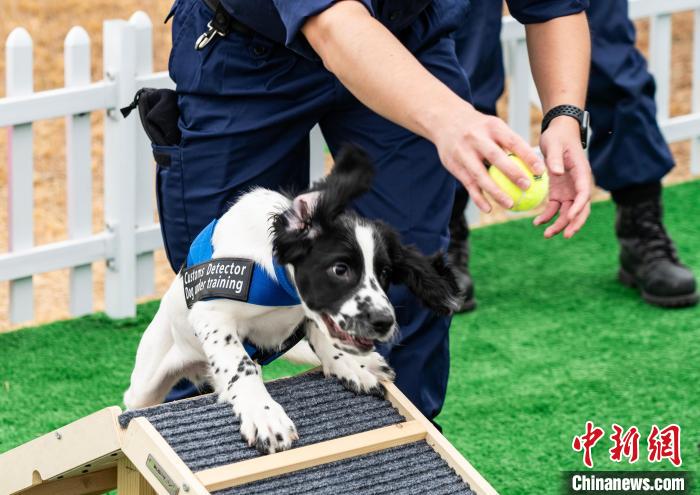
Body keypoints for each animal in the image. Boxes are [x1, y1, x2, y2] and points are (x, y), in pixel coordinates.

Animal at [125, 145, 460, 456]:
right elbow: (240, 363)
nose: (384, 322)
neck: (279, 284)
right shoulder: (212, 313)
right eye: (340, 269)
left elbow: (321, 334)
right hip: (146, 383)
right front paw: (263, 415)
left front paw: (349, 366)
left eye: (385, 272)